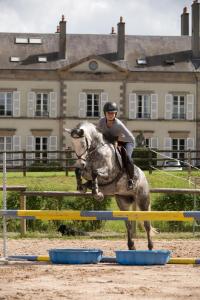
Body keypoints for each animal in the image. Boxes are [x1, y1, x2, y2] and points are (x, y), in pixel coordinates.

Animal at [65, 120, 154, 250]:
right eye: (72, 144)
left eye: (82, 143)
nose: (80, 163)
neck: (96, 150)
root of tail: (143, 176)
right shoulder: (86, 170)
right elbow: (80, 172)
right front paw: (83, 187)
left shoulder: (108, 172)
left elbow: (95, 173)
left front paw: (97, 193)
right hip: (122, 201)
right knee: (128, 224)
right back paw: (131, 245)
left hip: (143, 200)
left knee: (147, 223)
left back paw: (150, 246)